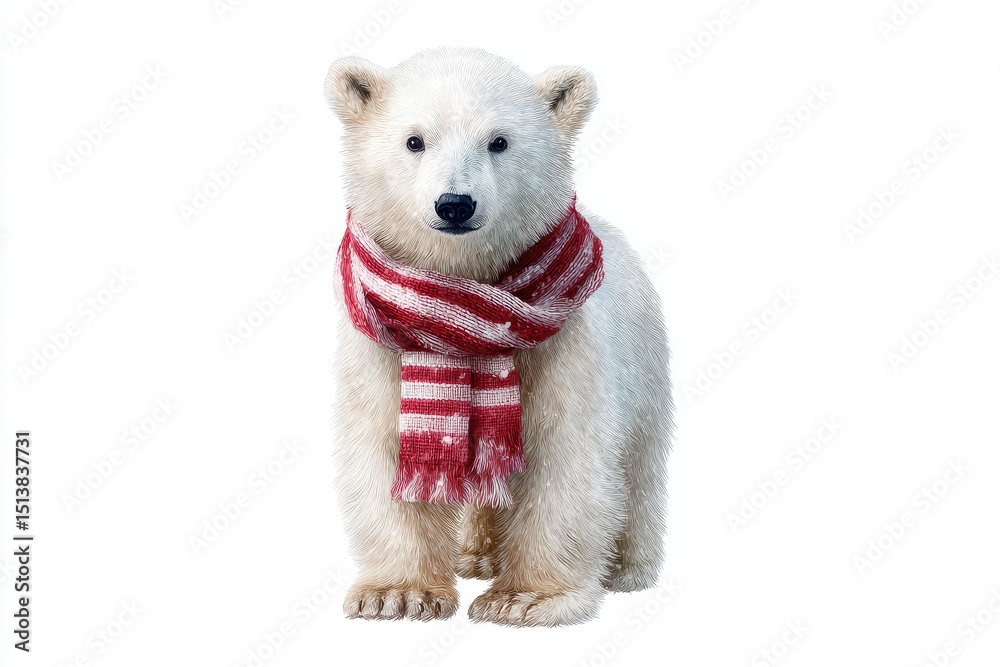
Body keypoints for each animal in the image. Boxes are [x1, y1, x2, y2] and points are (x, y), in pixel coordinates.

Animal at [325, 47, 673, 627]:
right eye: (415, 140)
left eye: (499, 141)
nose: (455, 204)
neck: (463, 307)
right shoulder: (382, 348)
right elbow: (392, 449)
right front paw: (397, 594)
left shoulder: (562, 349)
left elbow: (562, 454)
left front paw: (526, 598)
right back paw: (476, 554)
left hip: (644, 360)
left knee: (639, 462)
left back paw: (628, 567)